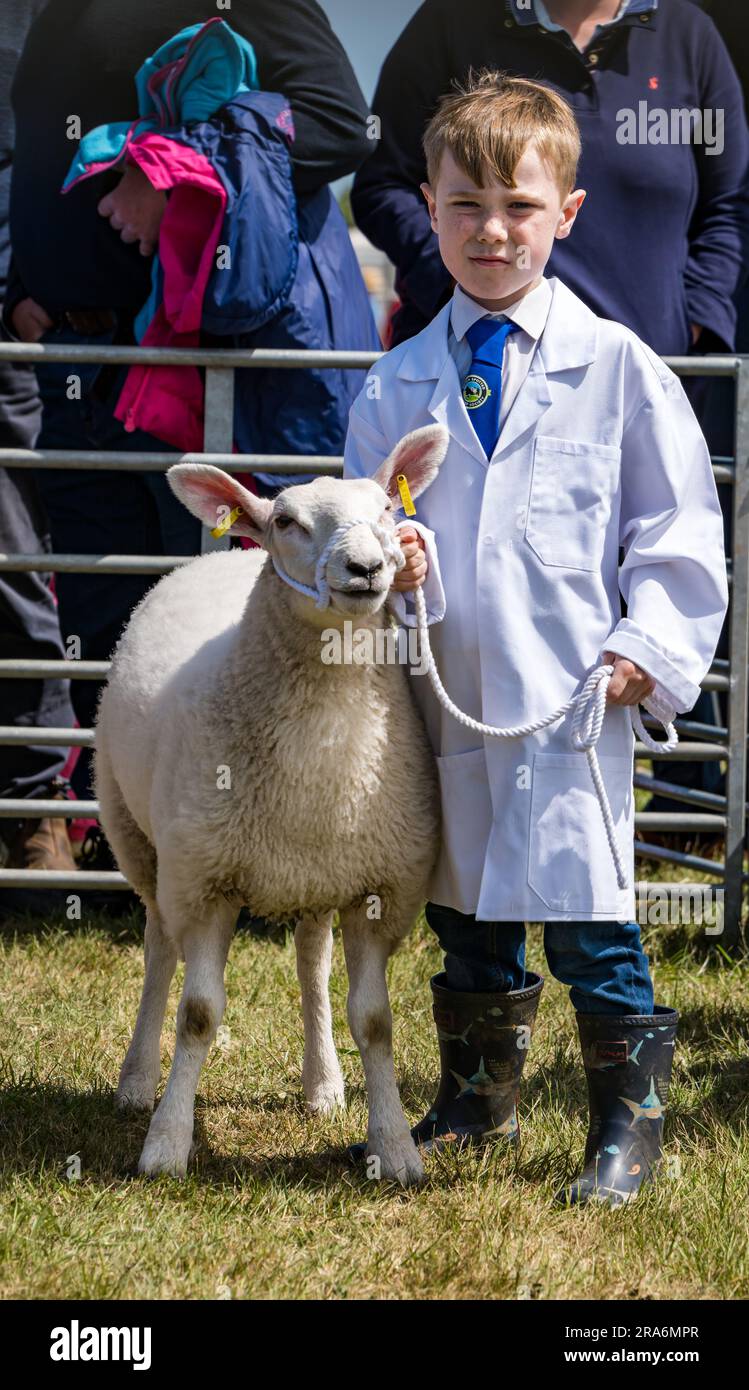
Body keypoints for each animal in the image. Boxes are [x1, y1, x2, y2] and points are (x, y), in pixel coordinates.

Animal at [92, 419, 444, 1184]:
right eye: (286, 521)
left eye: (387, 508)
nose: (366, 569)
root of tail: (228, 552)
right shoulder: (205, 883)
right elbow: (197, 1012)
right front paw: (166, 1144)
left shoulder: (381, 886)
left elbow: (375, 1021)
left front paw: (395, 1146)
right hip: (141, 842)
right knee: (157, 951)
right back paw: (136, 1081)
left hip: (312, 871)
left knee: (311, 962)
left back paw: (323, 1084)